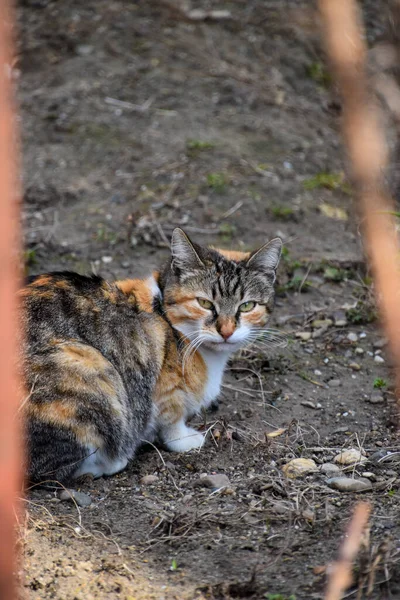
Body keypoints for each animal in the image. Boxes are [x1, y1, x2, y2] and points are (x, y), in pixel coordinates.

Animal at [20, 227, 282, 486]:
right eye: (205, 303)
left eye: (247, 306)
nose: (226, 331)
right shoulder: (164, 385)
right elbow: (172, 418)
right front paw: (184, 439)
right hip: (86, 368)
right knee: (53, 471)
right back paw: (112, 461)